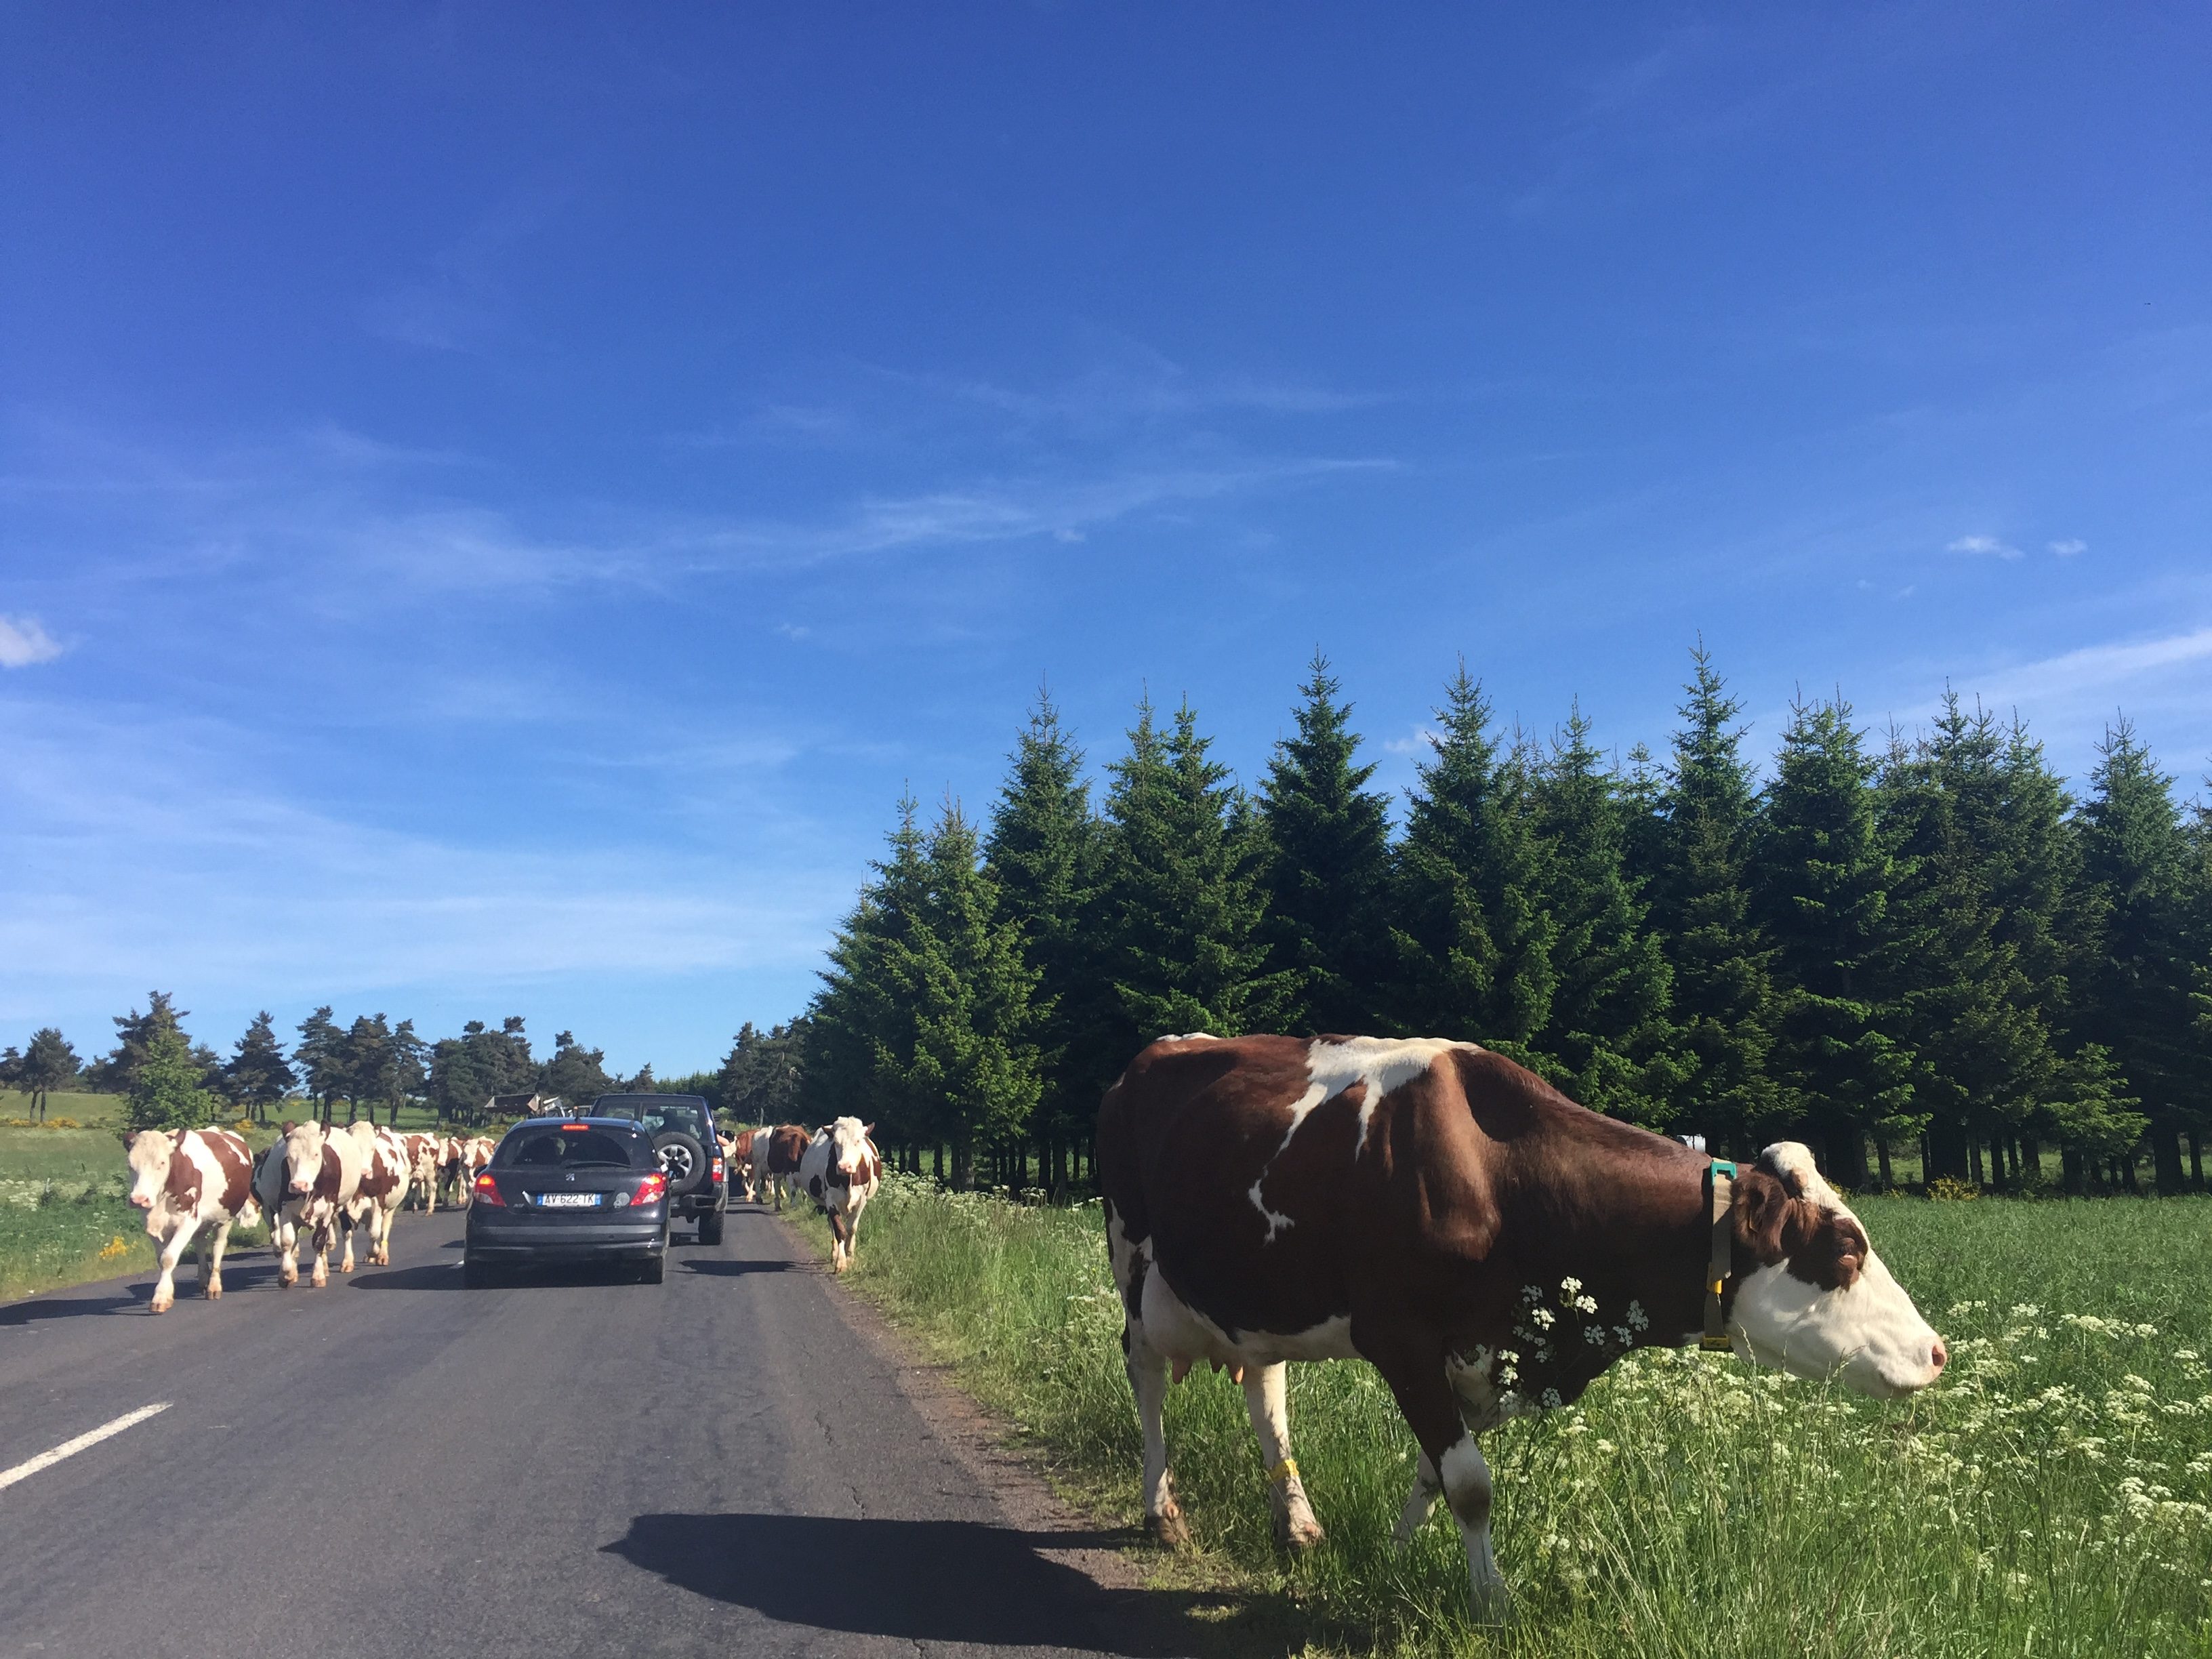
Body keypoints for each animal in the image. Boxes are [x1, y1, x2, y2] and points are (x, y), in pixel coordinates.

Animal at [123, 1132, 258, 1309]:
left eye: (162, 1163)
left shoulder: (188, 1221)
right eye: (130, 1164)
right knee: (200, 1244)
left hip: (226, 1216)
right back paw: (203, 1280)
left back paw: (214, 1286)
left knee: (217, 1247)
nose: (138, 1200)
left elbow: (168, 1258)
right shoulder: (151, 1224)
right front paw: (167, 1293)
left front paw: (160, 1298)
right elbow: (161, 1259)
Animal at [796, 1124, 880, 1283]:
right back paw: (834, 1253)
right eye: (836, 1142)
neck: (847, 1180)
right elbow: (839, 1230)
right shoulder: (831, 1201)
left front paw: (850, 1257)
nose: (844, 1167)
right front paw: (841, 1263)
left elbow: (852, 1229)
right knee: (832, 1225)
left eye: (858, 1141)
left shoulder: (861, 1200)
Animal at [1097, 1035, 1946, 1619]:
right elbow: (1470, 1485)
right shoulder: (1401, 1338)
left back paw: (1297, 1523)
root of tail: (1157, 1051)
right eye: (1846, 1250)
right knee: (1145, 1378)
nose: (1936, 1352)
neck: (1496, 1173)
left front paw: (1394, 1562)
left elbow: (1432, 1473)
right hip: (1133, 1263)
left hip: (1256, 1297)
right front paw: (1492, 1601)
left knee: (1265, 1388)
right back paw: (1161, 1511)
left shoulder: (1489, 1357)